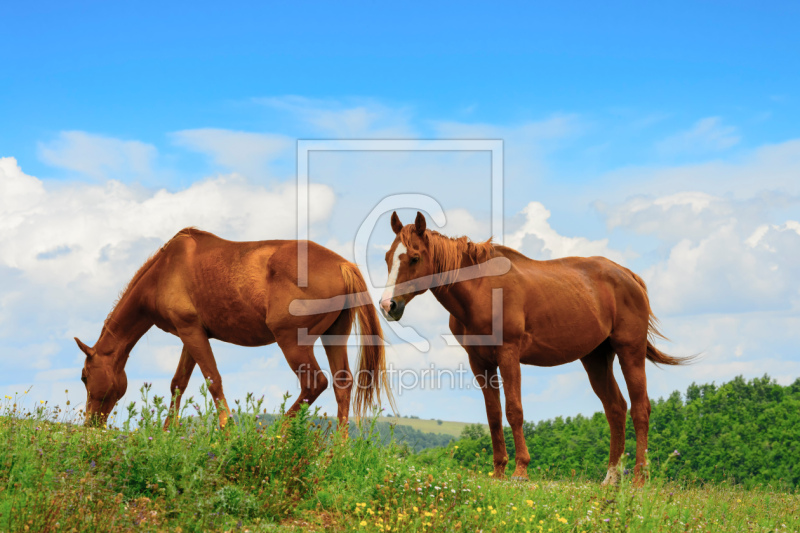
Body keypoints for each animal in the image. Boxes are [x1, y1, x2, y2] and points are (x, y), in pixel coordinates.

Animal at [73, 229, 392, 428]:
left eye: (84, 377)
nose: (90, 424)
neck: (164, 270)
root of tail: (342, 265)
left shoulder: (191, 331)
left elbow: (213, 381)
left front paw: (229, 432)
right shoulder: (191, 334)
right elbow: (178, 384)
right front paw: (165, 435)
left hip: (292, 342)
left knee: (315, 383)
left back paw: (275, 437)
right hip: (333, 337)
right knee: (341, 385)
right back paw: (338, 451)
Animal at [380, 211, 688, 482]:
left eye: (415, 258)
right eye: (387, 258)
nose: (387, 306)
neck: (482, 289)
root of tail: (629, 276)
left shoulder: (509, 355)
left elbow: (514, 410)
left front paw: (520, 471)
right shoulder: (480, 361)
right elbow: (494, 415)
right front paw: (499, 471)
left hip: (629, 352)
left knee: (640, 409)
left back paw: (639, 479)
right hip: (596, 359)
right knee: (616, 409)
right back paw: (611, 478)